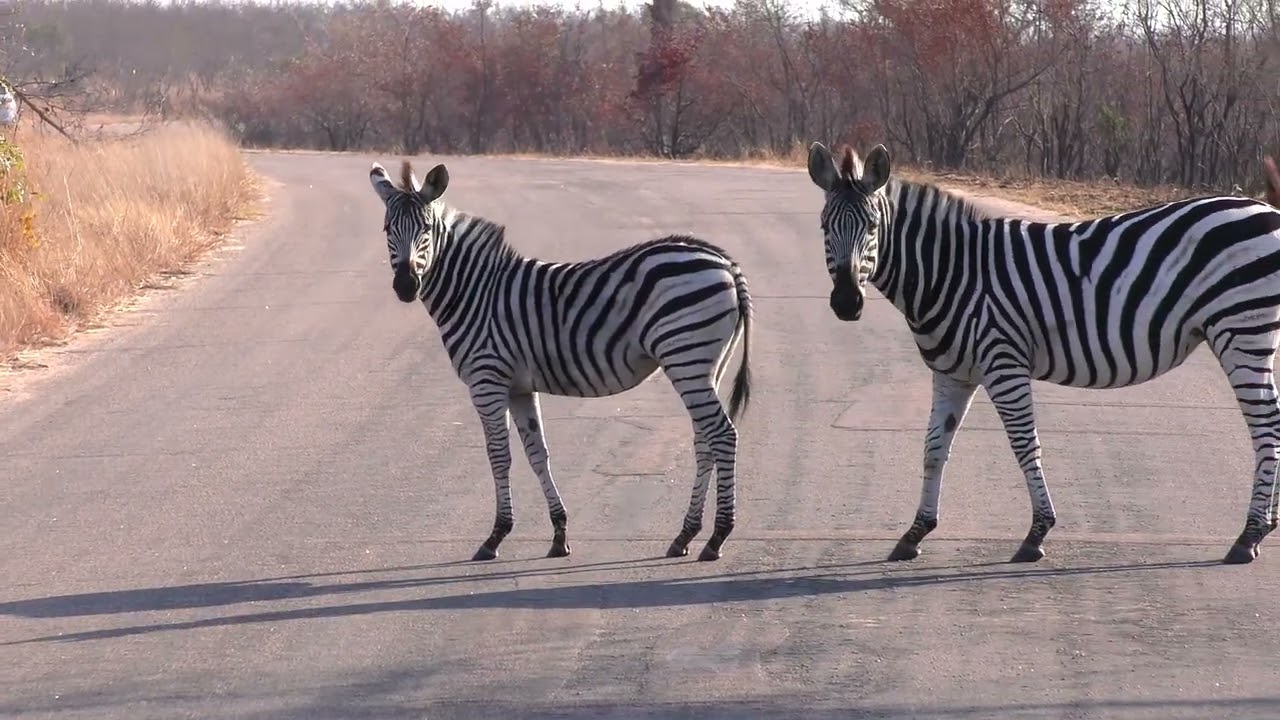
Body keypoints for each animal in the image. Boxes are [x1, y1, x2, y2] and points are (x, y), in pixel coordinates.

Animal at [367, 159, 753, 563]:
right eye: (388, 229)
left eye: (426, 229)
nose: (405, 286)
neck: (474, 292)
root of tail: (724, 262)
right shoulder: (519, 388)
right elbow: (538, 454)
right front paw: (558, 533)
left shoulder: (487, 380)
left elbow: (498, 456)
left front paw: (495, 536)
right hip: (706, 364)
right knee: (704, 439)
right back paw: (685, 535)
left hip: (686, 358)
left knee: (722, 434)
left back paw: (717, 537)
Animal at [807, 140, 1280, 565]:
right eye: (825, 227)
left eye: (873, 227)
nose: (847, 303)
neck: (951, 272)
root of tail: (1265, 209)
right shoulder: (952, 373)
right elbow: (933, 447)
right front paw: (915, 533)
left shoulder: (1003, 362)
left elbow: (1023, 444)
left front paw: (1037, 532)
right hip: (1256, 333)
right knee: (1272, 420)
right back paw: (1264, 527)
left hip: (1242, 328)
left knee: (1265, 426)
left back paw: (1248, 536)